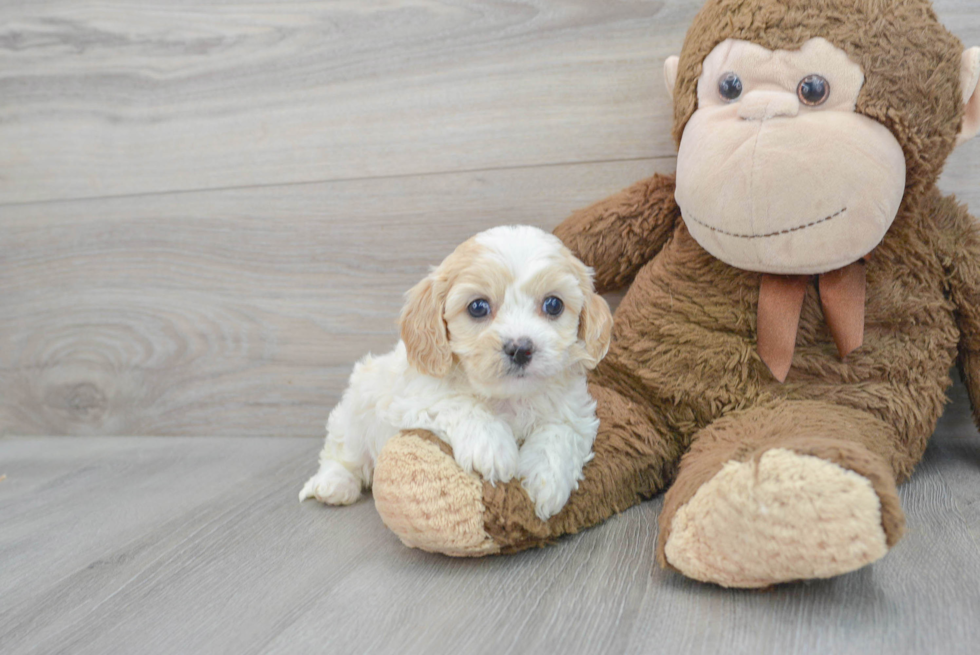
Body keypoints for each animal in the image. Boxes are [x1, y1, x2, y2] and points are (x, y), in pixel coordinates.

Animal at [298, 226, 608, 524]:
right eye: (478, 307)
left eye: (553, 305)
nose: (520, 348)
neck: (509, 398)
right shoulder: (413, 397)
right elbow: (460, 403)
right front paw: (492, 448)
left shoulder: (576, 412)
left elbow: (561, 432)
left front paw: (547, 483)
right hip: (356, 412)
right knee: (341, 455)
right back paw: (333, 484)